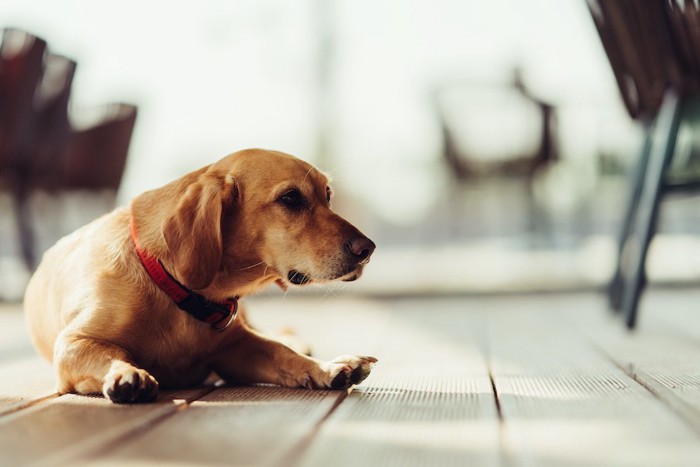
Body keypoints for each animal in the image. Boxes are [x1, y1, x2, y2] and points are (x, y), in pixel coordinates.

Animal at [24, 149, 378, 402]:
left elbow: (281, 352)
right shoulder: (74, 342)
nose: (368, 248)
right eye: (291, 197)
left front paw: (327, 368)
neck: (173, 288)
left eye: (328, 196)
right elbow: (114, 353)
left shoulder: (237, 347)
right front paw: (125, 373)